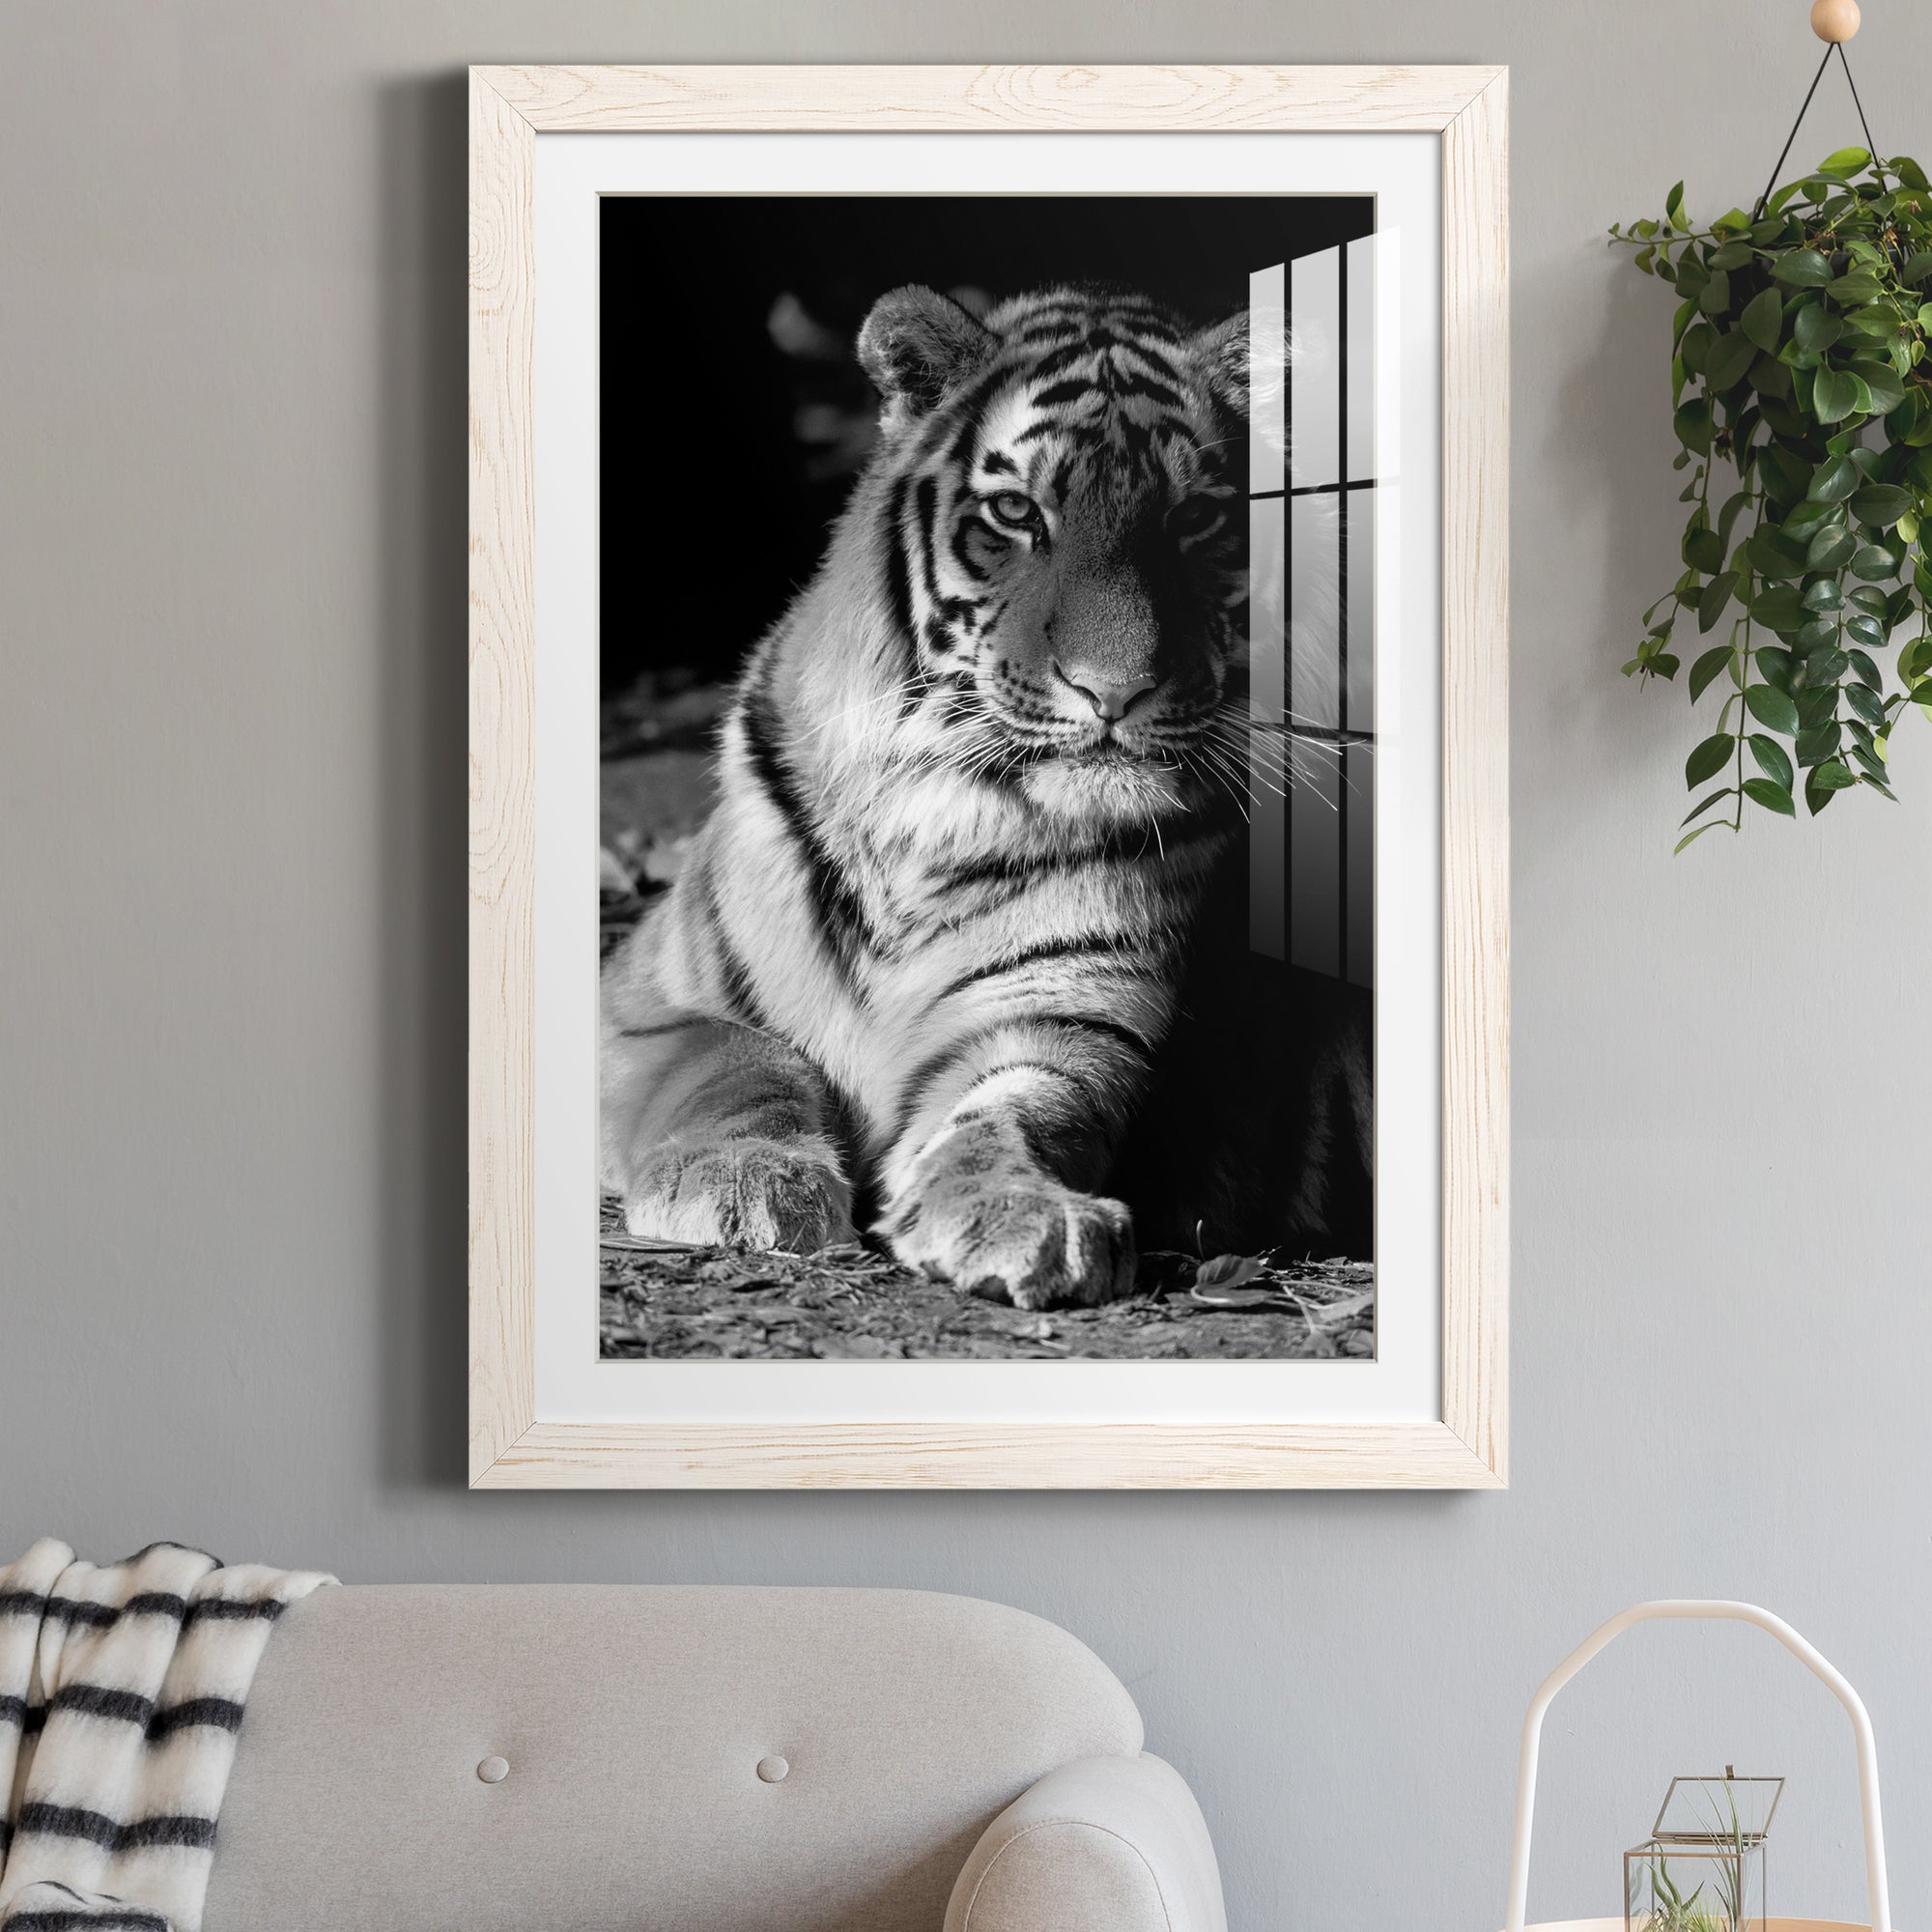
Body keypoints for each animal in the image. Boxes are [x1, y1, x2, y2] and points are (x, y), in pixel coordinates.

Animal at [600, 281, 1372, 1310]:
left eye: (1195, 520)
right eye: (1016, 512)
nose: (1115, 691)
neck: (938, 812)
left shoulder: (1061, 1017)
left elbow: (1013, 1113)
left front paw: (1024, 1215)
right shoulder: (643, 999)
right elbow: (737, 1062)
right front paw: (743, 1182)